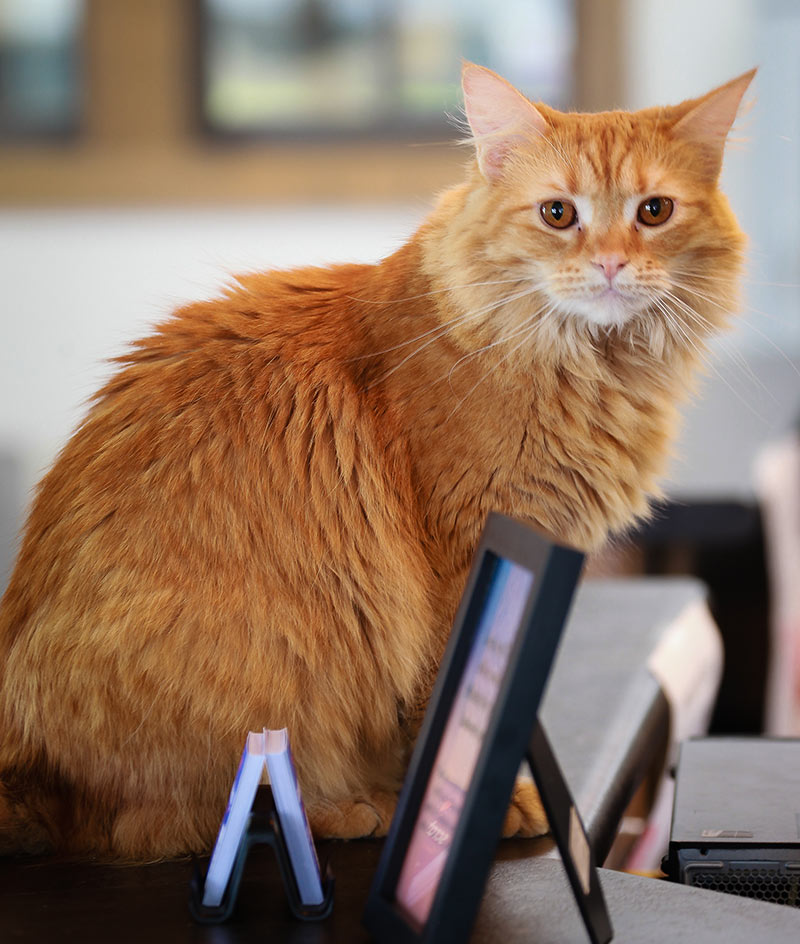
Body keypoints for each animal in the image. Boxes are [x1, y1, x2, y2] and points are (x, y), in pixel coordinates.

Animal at [0, 62, 752, 860]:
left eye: (653, 211)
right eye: (557, 214)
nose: (611, 263)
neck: (585, 365)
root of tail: (24, 764)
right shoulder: (462, 554)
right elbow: (443, 707)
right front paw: (460, 808)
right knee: (178, 819)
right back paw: (353, 809)